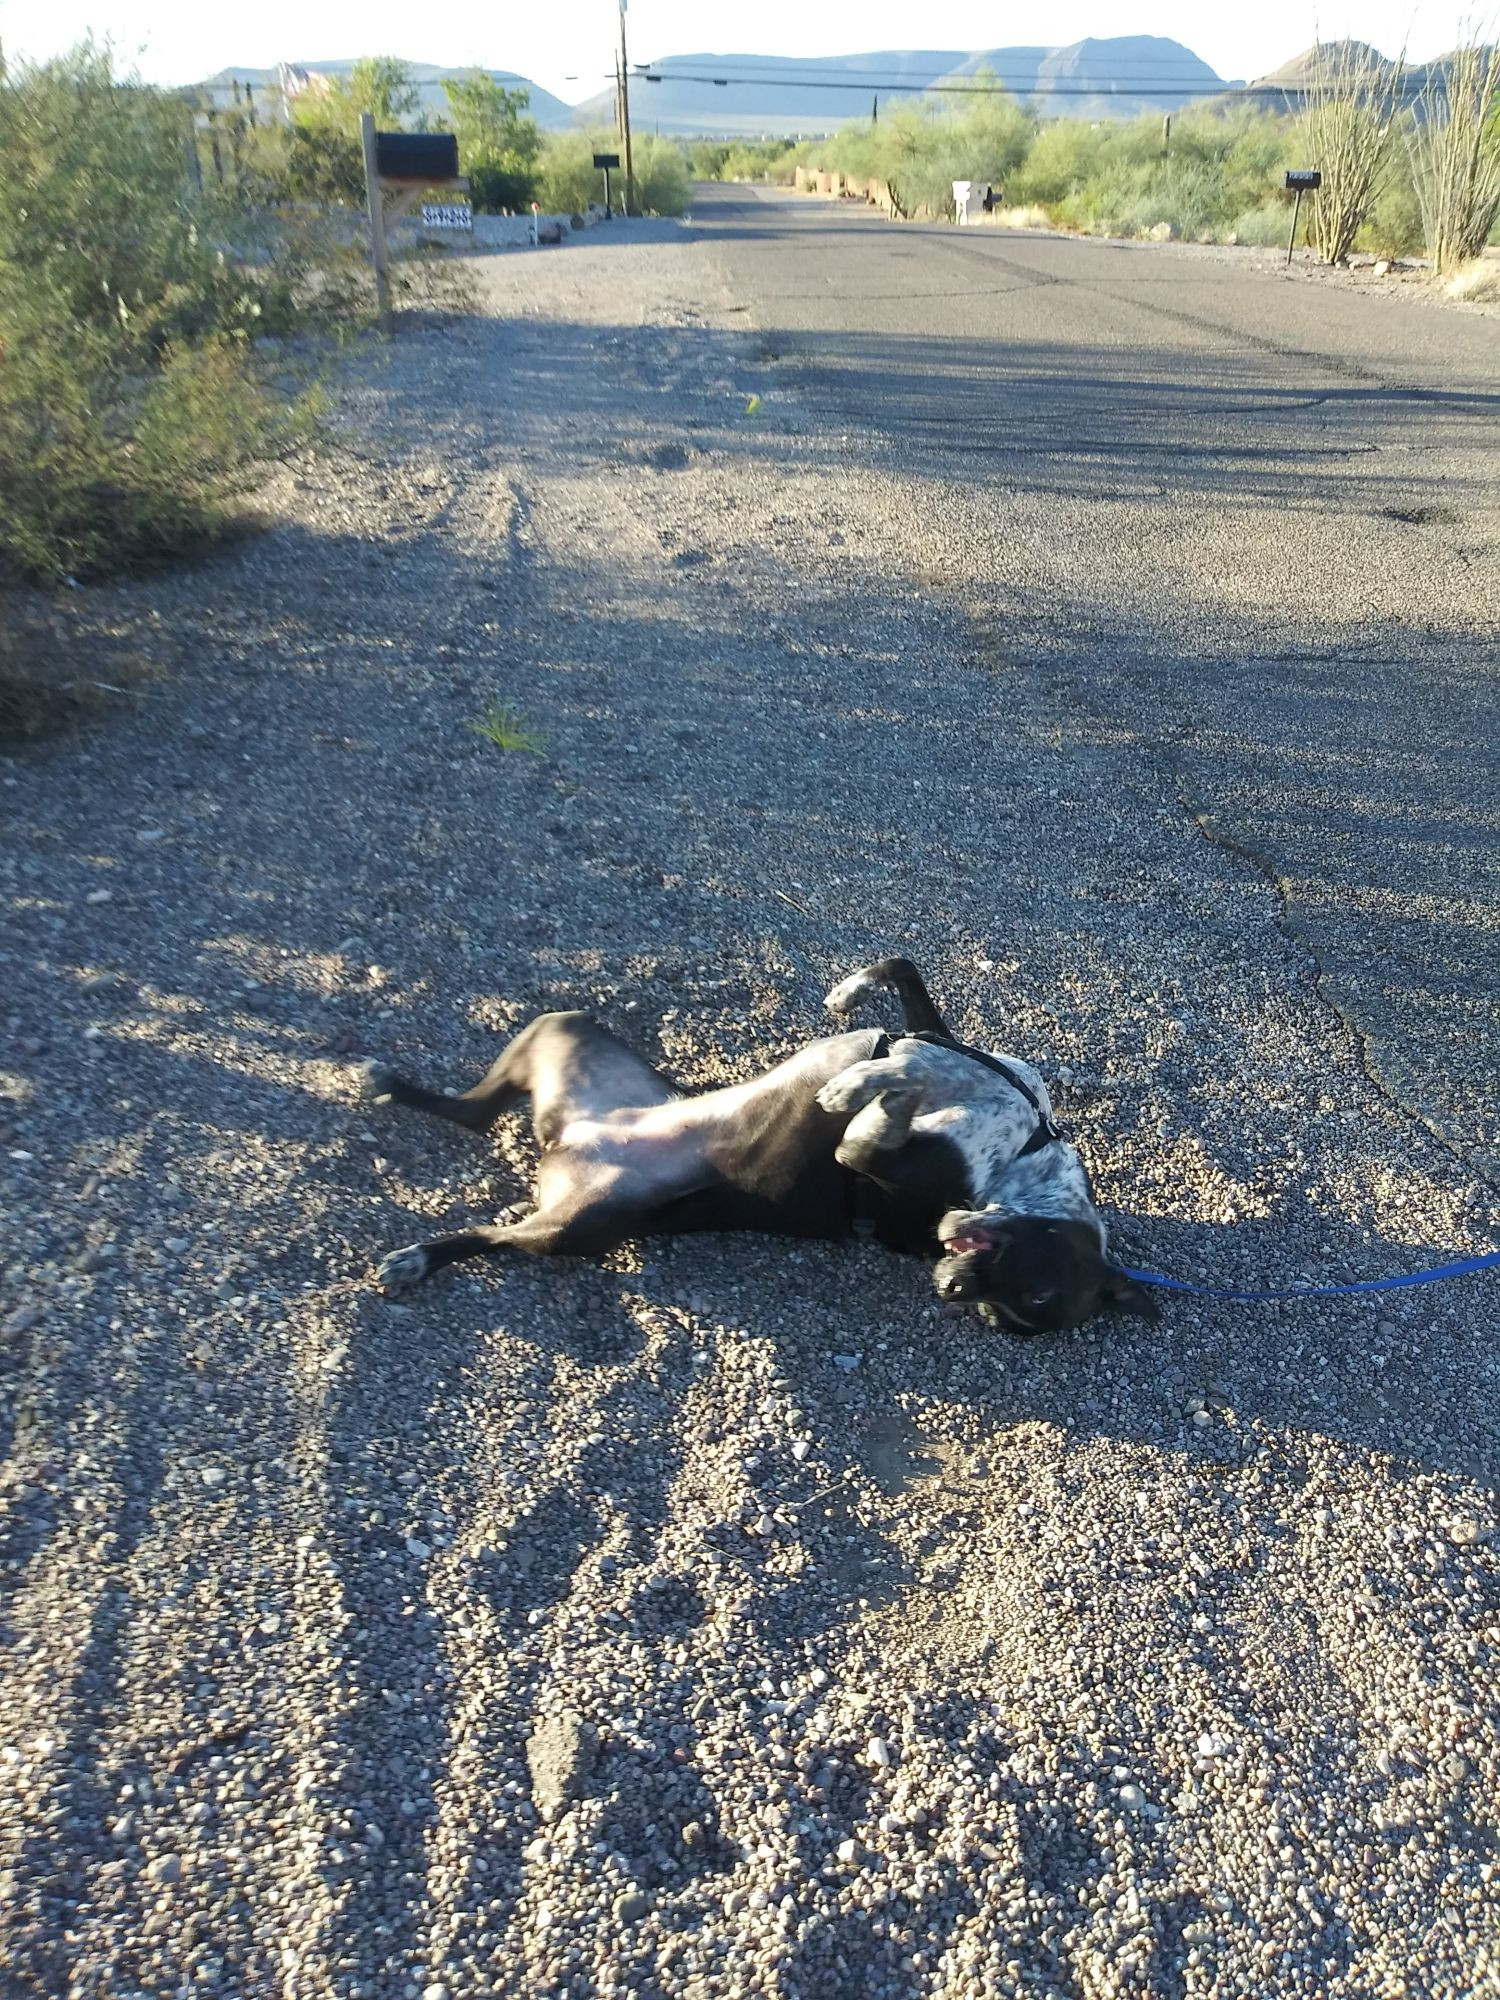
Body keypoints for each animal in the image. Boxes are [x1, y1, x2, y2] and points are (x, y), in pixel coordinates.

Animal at [368, 956, 1160, 1336]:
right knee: (473, 1114)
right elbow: (905, 983)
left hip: (574, 1227)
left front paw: (865, 1081)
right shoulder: (941, 1035)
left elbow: (892, 1089)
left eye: (1025, 1306)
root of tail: (562, 1141)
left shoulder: (870, 1155)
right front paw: (850, 1000)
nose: (951, 1291)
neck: (1025, 1152)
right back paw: (382, 1081)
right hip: (561, 1028)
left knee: (490, 1230)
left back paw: (418, 1257)